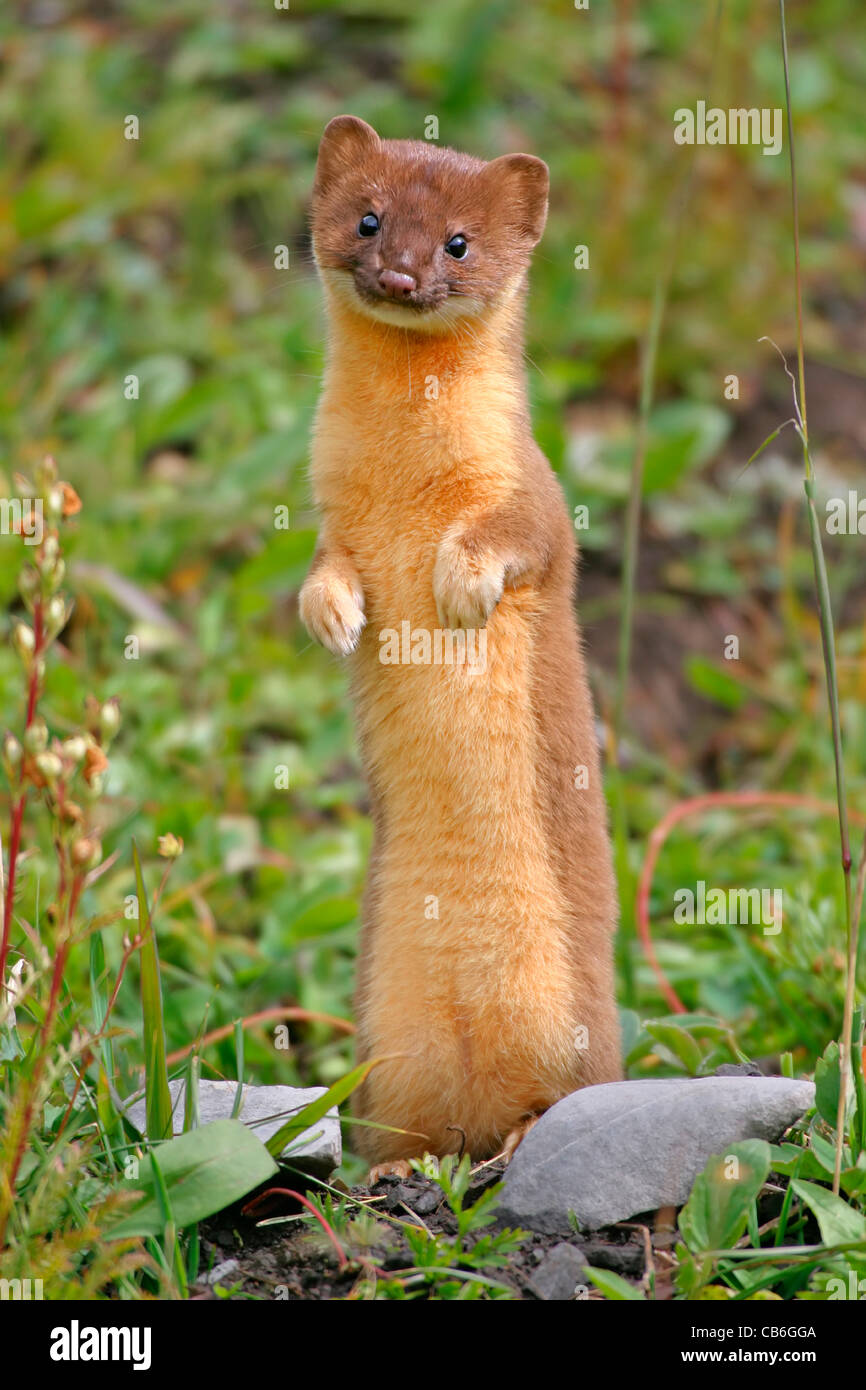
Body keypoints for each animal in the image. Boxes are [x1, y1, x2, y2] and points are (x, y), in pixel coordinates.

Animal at [300, 116, 622, 1173]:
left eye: (458, 243)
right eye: (369, 219)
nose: (401, 275)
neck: (405, 481)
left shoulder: (531, 487)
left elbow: (523, 538)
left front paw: (461, 585)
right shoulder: (329, 518)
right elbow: (324, 569)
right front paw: (336, 616)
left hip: (577, 1028)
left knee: (562, 1097)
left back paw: (520, 1140)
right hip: (384, 1036)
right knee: (400, 1122)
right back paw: (406, 1161)